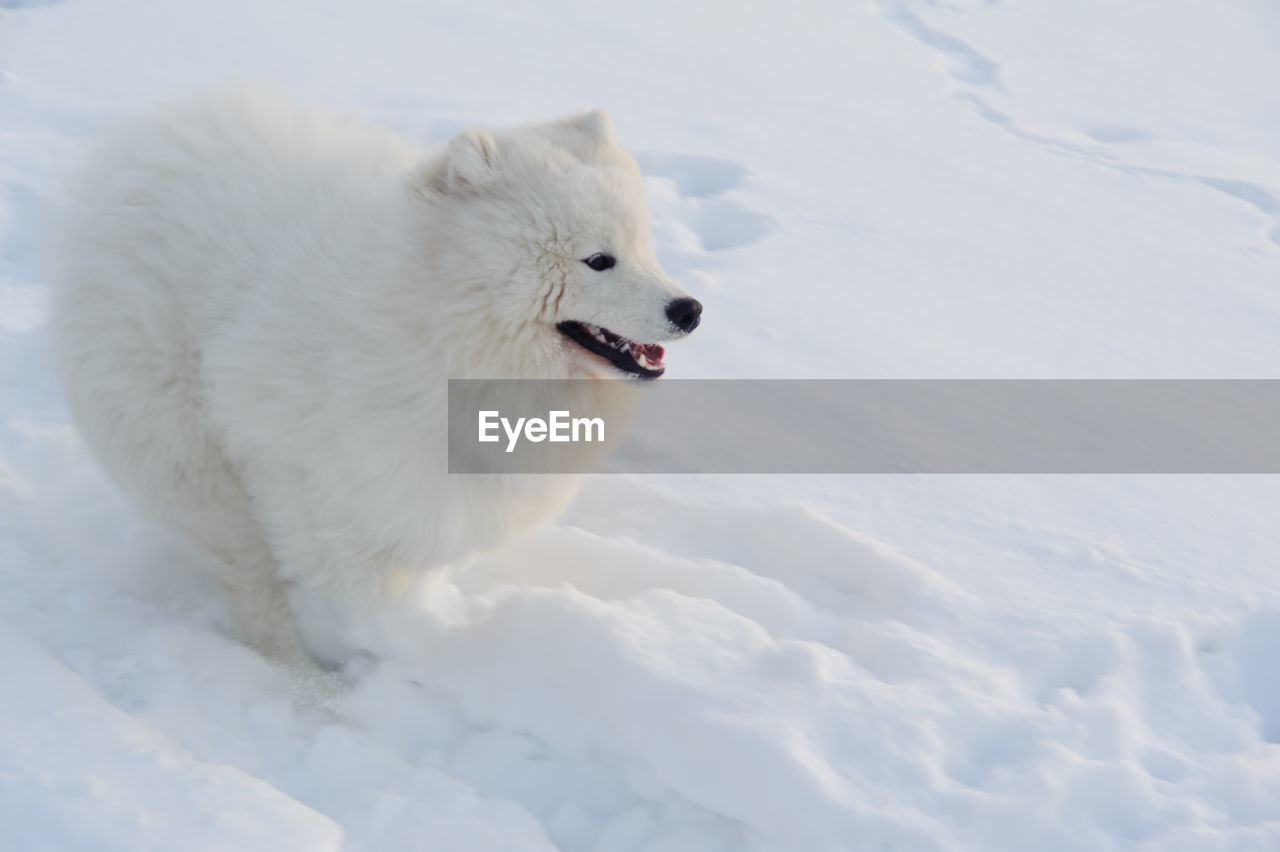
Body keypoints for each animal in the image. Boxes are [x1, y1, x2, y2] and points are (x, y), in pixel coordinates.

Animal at [49, 86, 701, 654]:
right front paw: (375, 648)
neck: (440, 332)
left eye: (644, 247)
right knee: (240, 564)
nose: (690, 310)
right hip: (183, 451)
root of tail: (142, 142)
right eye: (598, 260)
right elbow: (351, 582)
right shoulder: (302, 478)